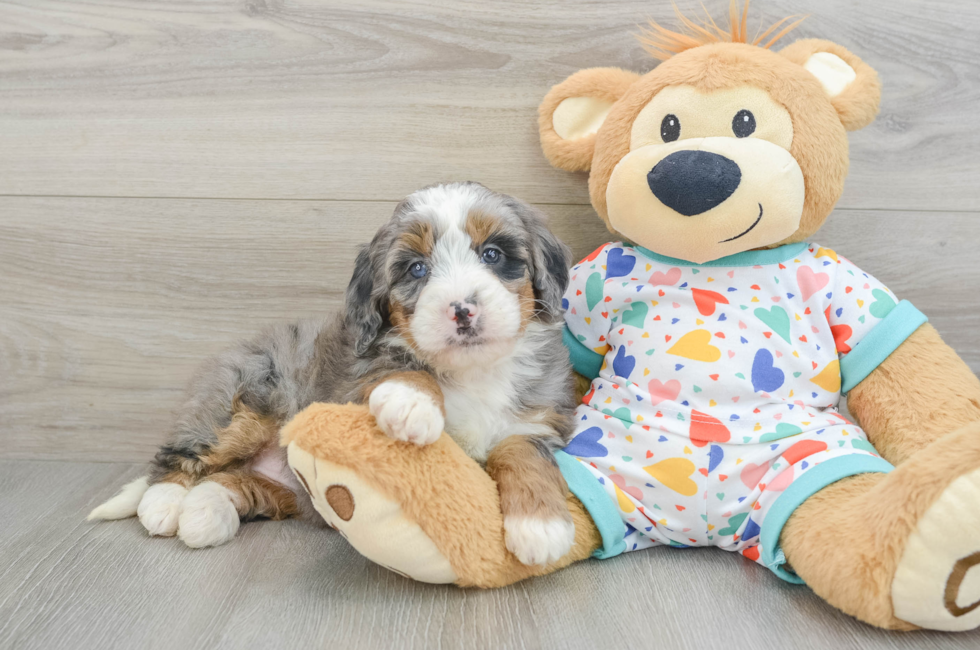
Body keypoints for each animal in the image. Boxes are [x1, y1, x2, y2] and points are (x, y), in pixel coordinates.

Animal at [88, 180, 580, 564]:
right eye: (417, 268)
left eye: (493, 254)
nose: (462, 310)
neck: (475, 371)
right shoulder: (356, 382)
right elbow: (403, 367)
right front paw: (412, 403)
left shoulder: (535, 420)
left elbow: (525, 455)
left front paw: (540, 527)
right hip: (241, 402)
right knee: (178, 458)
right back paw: (164, 503)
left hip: (285, 489)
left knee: (224, 480)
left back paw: (205, 515)